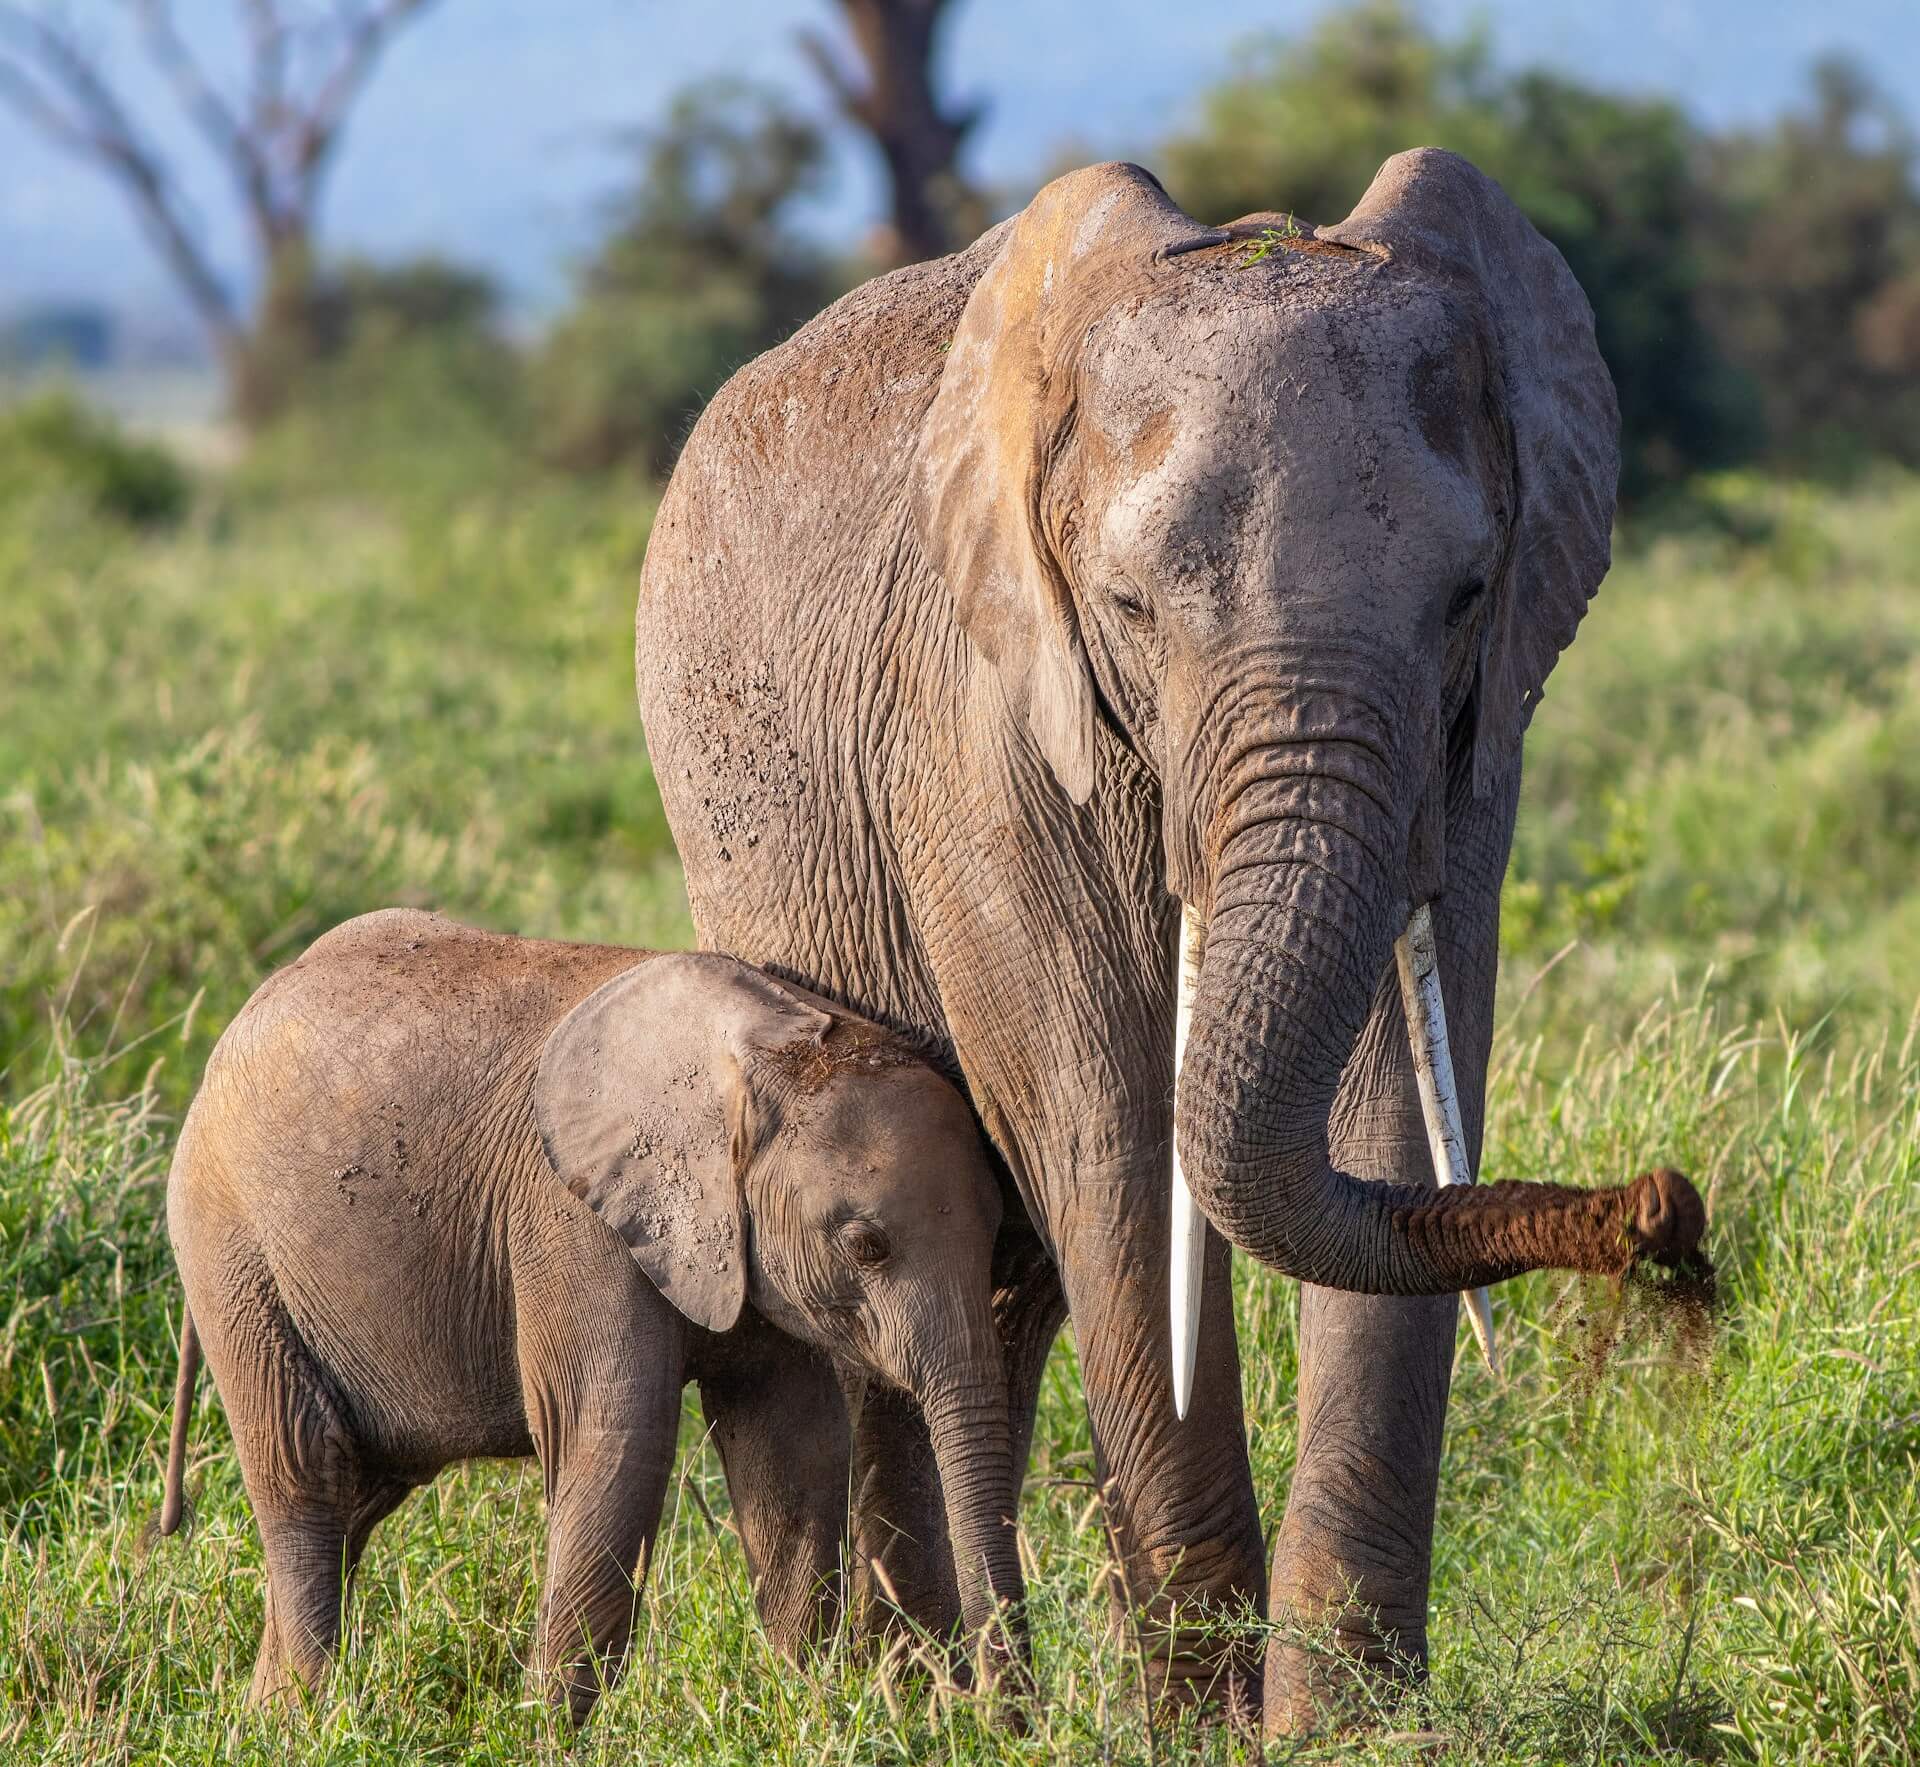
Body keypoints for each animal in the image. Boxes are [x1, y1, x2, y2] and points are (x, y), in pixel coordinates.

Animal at [163, 910, 1029, 1728]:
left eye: (1001, 1231)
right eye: (866, 1244)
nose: (1005, 1720)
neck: (765, 1044)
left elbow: (795, 1448)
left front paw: (809, 1710)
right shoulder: (572, 1219)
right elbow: (615, 1440)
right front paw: (545, 1737)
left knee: (355, 1499)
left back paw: (262, 1719)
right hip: (232, 1254)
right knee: (307, 1479)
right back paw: (310, 1721)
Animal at [637, 148, 1674, 1728]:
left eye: (1467, 596)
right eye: (1128, 606)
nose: (1665, 1207)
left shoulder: (1470, 750)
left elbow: (1389, 1117)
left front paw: (1347, 1728)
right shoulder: (988, 730)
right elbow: (1111, 1136)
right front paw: (1199, 1722)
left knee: (998, 1301)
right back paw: (913, 1703)